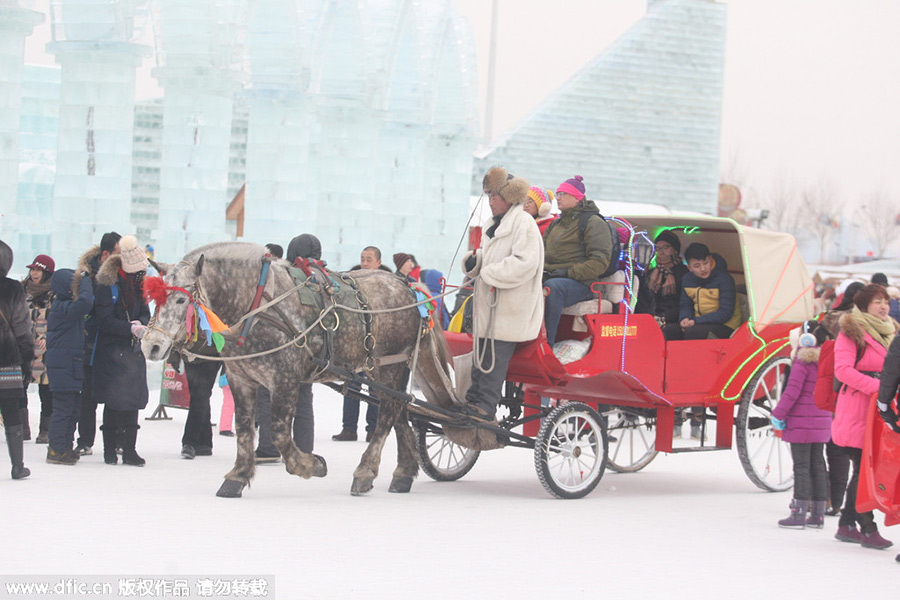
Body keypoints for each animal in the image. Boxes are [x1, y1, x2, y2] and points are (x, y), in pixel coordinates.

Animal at [143, 241, 454, 500]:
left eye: (181, 300)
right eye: (155, 299)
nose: (151, 346)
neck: (257, 306)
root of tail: (408, 286)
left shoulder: (285, 378)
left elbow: (279, 432)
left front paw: (310, 465)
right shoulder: (240, 378)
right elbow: (244, 428)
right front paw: (238, 476)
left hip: (390, 364)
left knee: (387, 413)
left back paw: (365, 472)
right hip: (386, 369)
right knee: (400, 409)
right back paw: (404, 472)